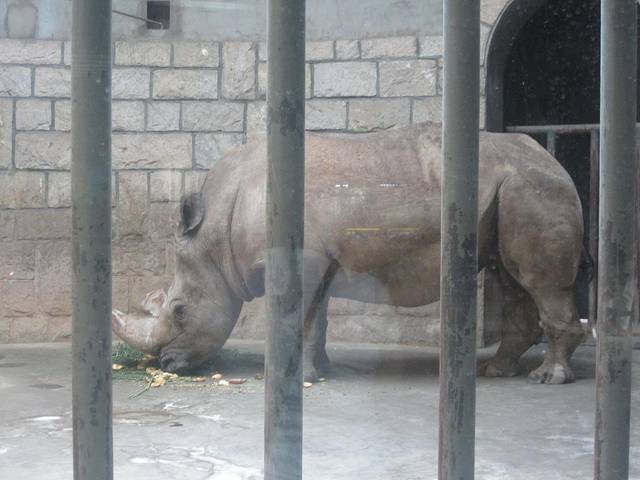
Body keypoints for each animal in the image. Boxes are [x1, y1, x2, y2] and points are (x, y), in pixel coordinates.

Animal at [112, 123, 588, 384]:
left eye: (179, 310)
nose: (166, 363)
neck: (216, 235)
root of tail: (553, 158)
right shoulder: (320, 259)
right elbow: (316, 320)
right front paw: (321, 369)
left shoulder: (302, 259)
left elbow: (302, 320)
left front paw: (299, 377)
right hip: (517, 188)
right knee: (512, 278)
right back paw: (498, 371)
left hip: (533, 186)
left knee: (539, 282)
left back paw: (548, 378)